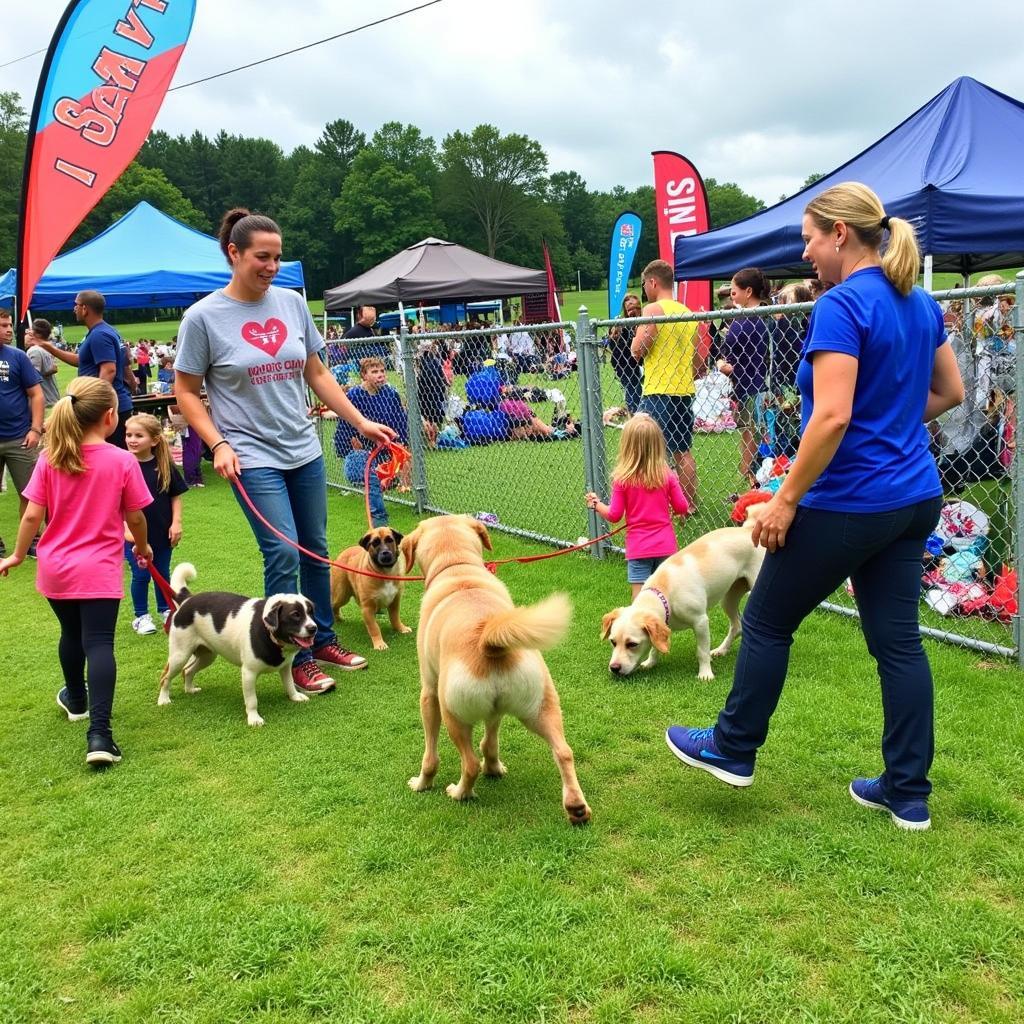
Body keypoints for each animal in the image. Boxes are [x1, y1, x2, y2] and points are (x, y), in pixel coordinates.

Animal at [158, 561, 315, 729]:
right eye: (295, 615)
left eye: (311, 612)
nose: (314, 628)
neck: (267, 630)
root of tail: (188, 600)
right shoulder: (248, 673)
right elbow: (252, 700)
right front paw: (253, 718)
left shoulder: (285, 667)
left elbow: (290, 684)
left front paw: (295, 696)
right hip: (180, 655)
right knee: (165, 677)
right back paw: (163, 699)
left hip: (207, 656)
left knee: (187, 670)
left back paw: (189, 689)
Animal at [399, 512, 593, 823]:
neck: (458, 569)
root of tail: (488, 638)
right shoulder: (495, 711)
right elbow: (490, 740)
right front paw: (494, 768)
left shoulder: (428, 693)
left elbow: (431, 754)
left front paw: (422, 783)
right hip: (541, 706)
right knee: (563, 751)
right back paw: (576, 807)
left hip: (452, 714)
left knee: (469, 764)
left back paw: (459, 793)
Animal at [602, 520, 765, 679]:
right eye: (613, 642)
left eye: (632, 644)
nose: (614, 668)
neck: (665, 592)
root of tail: (748, 529)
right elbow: (655, 646)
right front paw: (651, 662)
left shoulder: (701, 622)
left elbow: (702, 651)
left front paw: (705, 674)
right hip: (728, 599)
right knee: (737, 626)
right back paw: (721, 650)